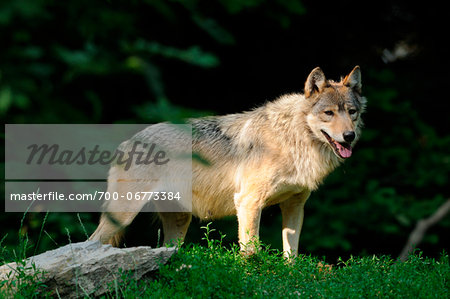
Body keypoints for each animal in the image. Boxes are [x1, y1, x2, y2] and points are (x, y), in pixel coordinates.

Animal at [90, 65, 366, 258]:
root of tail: (128, 142)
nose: (349, 136)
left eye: (352, 113)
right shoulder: (248, 202)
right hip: (122, 216)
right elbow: (251, 252)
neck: (294, 139)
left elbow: (292, 256)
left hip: (178, 224)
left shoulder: (294, 206)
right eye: (329, 113)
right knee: (91, 241)